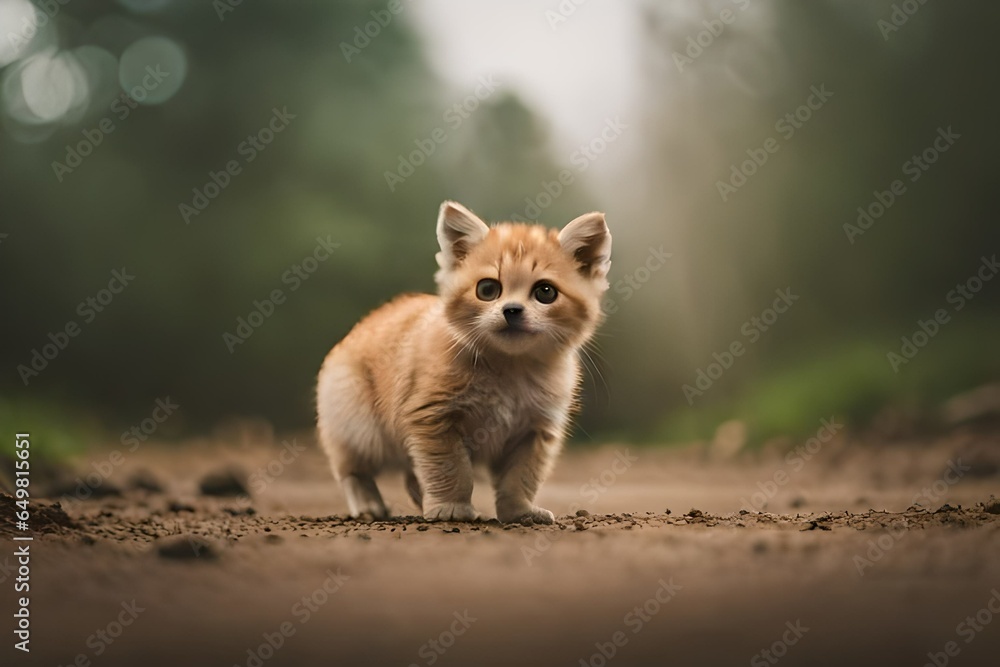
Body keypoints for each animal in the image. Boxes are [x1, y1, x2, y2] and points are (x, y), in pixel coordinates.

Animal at [315, 201, 611, 523]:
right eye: (487, 290)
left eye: (545, 292)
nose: (512, 310)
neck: (510, 367)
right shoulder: (433, 418)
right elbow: (451, 469)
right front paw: (451, 507)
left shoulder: (534, 431)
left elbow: (520, 478)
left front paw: (519, 511)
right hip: (360, 428)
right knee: (352, 471)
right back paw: (369, 505)